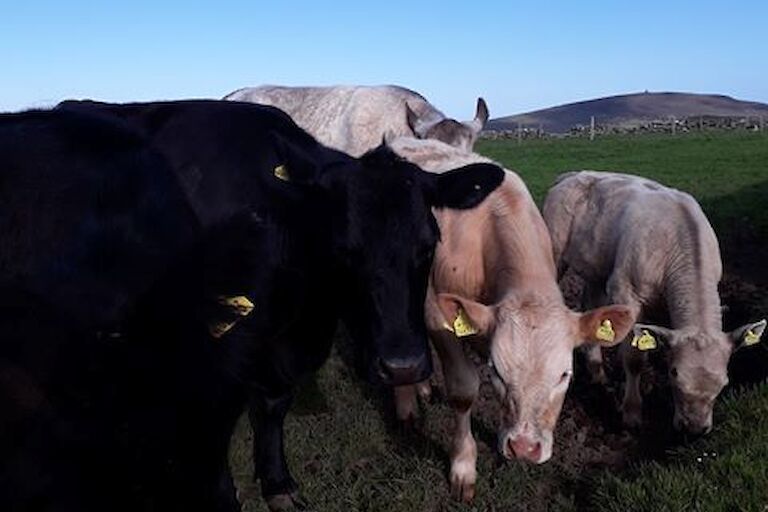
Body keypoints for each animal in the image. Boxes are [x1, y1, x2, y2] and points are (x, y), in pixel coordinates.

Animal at [544, 170, 764, 434]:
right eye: (674, 373)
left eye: (724, 382)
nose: (694, 428)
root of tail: (572, 174)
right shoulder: (625, 292)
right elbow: (634, 358)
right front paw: (632, 414)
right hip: (554, 251)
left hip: (597, 266)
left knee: (590, 303)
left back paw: (597, 372)